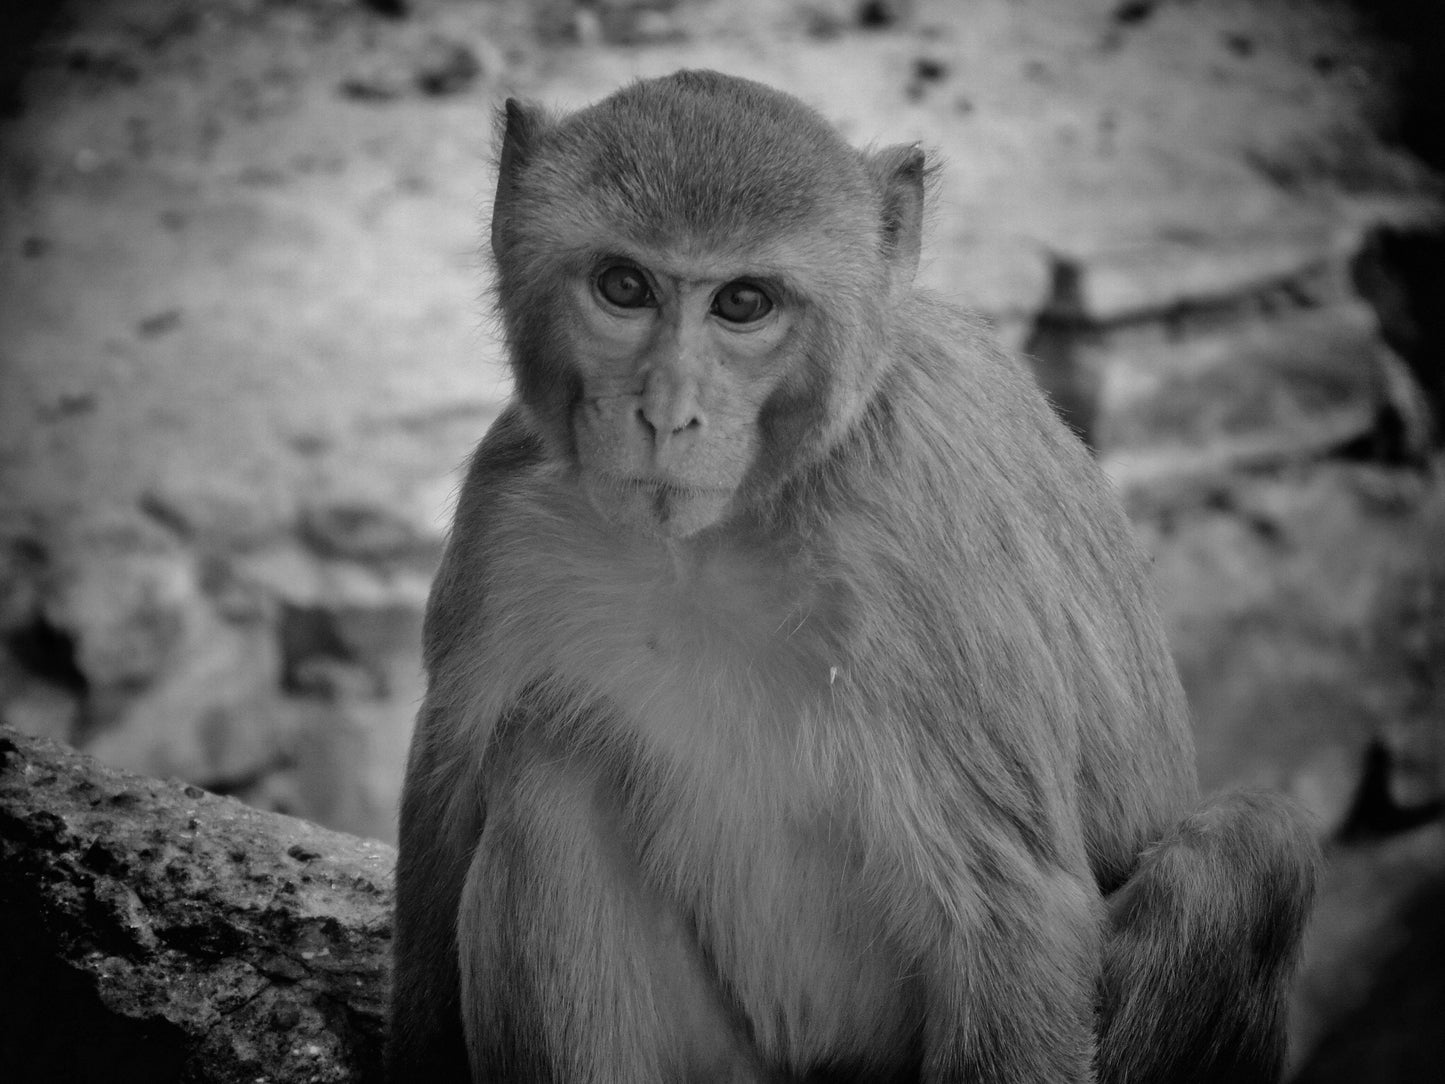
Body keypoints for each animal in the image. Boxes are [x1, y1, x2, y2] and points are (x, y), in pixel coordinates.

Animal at [389, 70, 1318, 1084]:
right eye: (623, 286)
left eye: (742, 303)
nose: (665, 415)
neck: (715, 537)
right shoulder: (507, 507)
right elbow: (447, 804)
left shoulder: (917, 545)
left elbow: (1012, 915)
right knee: (543, 776)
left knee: (1245, 852)